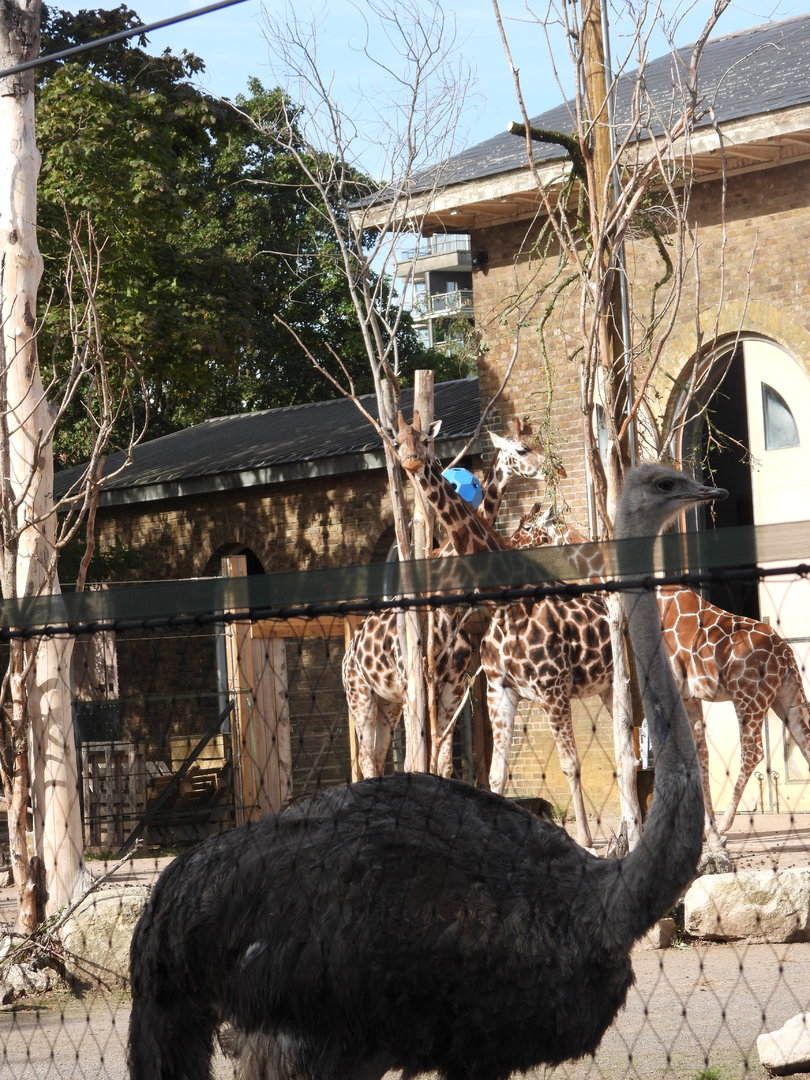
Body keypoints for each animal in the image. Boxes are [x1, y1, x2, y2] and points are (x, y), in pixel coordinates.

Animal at [344, 416, 554, 779]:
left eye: (426, 440)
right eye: (521, 449)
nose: (411, 460)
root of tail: (346, 657)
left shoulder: (454, 684)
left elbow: (443, 762)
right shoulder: (418, 685)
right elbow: (419, 760)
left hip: (387, 703)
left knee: (379, 755)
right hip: (361, 696)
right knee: (368, 760)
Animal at [514, 505, 810, 842]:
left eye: (527, 527)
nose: (510, 543)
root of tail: (787, 657)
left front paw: (709, 830)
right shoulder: (690, 695)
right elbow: (700, 756)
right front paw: (706, 829)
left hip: (749, 698)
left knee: (753, 753)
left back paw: (726, 825)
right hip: (786, 698)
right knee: (804, 742)